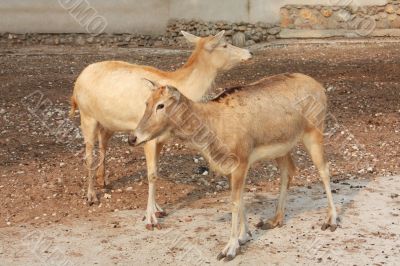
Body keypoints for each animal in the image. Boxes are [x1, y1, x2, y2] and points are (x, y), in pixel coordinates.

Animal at [68, 29, 250, 229]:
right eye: (224, 44)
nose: (249, 53)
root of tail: (76, 85)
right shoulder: (147, 137)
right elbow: (152, 174)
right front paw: (150, 218)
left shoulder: (162, 138)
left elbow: (156, 170)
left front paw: (158, 209)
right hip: (87, 115)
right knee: (88, 154)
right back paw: (91, 196)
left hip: (107, 123)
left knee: (103, 145)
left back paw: (103, 181)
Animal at [130, 74, 340, 260]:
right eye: (146, 103)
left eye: (161, 105)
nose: (133, 138)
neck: (214, 129)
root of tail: (321, 88)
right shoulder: (230, 167)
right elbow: (241, 199)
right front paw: (243, 237)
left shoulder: (241, 161)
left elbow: (235, 202)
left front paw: (229, 249)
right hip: (282, 148)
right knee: (289, 170)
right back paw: (274, 220)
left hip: (314, 131)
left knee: (324, 169)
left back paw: (331, 221)